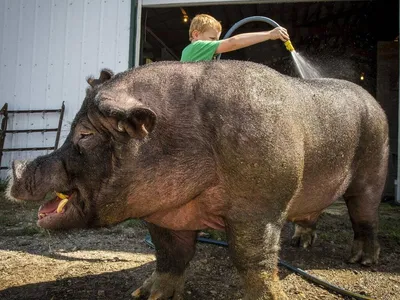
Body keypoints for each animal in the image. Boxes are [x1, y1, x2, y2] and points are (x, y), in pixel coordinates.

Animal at [6, 61, 388, 300]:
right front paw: (145, 294)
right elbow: (169, 254)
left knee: (365, 216)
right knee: (312, 215)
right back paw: (299, 244)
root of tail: (372, 100)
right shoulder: (163, 214)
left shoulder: (259, 206)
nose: (15, 167)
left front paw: (271, 297)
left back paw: (363, 261)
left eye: (85, 135)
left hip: (374, 168)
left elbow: (253, 259)